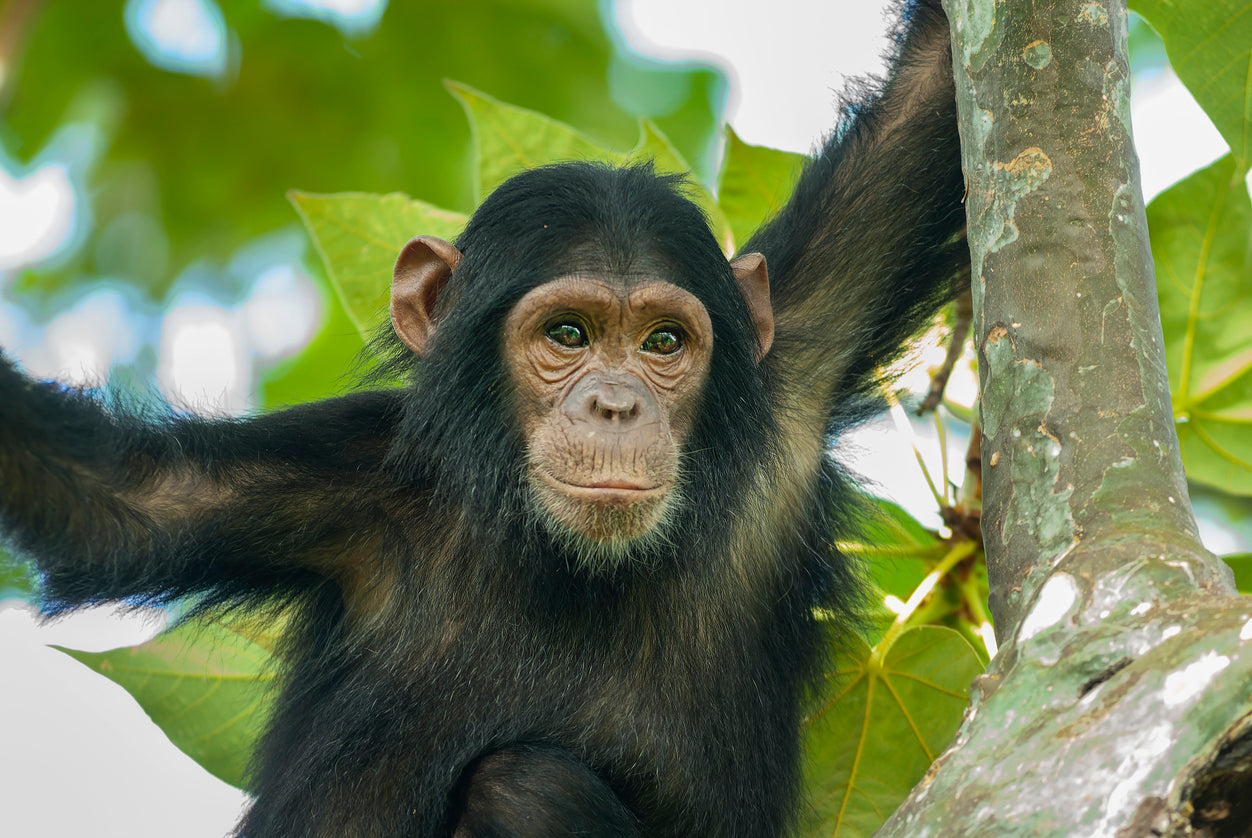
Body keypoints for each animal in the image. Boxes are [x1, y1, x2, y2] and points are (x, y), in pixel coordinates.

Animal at [0, 1, 966, 834]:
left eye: (663, 342)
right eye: (567, 333)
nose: (617, 403)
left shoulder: (794, 370)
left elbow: (927, 105)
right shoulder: (344, 480)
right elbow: (124, 500)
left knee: (525, 785)